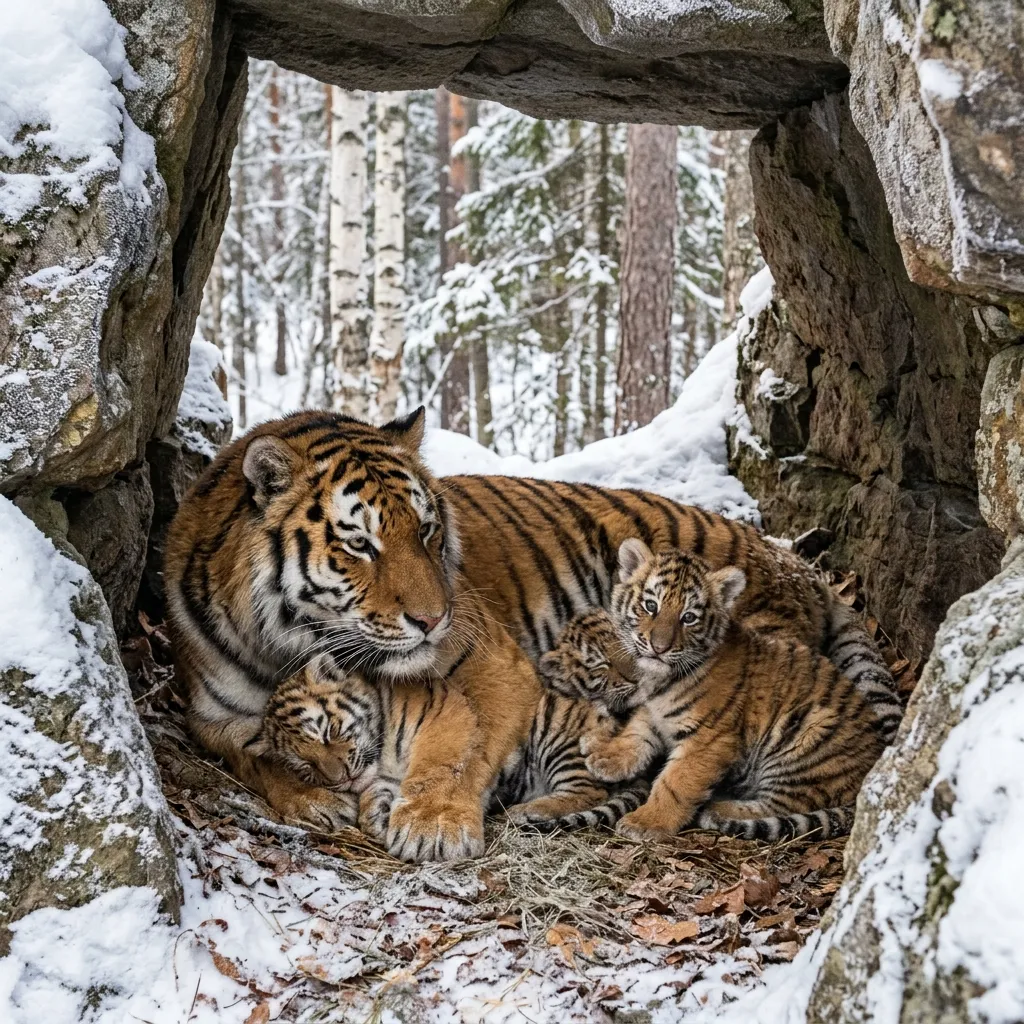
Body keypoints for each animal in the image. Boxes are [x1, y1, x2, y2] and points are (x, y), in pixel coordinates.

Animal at [247, 658, 647, 847]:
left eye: (328, 730)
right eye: (305, 765)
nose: (340, 777)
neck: (382, 754)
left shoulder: (445, 717)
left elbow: (437, 770)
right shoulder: (385, 778)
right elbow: (376, 795)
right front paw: (374, 817)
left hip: (558, 734)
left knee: (590, 791)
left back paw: (527, 810)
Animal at [547, 540, 896, 841]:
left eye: (689, 617)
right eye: (650, 606)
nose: (659, 647)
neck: (661, 679)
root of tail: (869, 774)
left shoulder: (709, 740)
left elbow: (676, 782)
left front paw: (646, 822)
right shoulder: (652, 710)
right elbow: (637, 732)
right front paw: (605, 754)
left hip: (806, 742)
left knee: (783, 805)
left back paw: (720, 810)